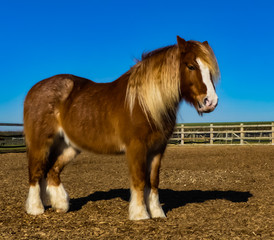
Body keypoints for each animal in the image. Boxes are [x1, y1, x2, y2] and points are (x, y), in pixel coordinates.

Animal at [23, 35, 220, 219]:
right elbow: (139, 180)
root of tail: (35, 89)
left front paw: (157, 213)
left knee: (51, 171)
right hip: (41, 143)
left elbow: (153, 181)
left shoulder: (157, 149)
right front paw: (140, 215)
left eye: (210, 70)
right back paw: (36, 208)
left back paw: (60, 205)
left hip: (68, 146)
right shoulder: (136, 147)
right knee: (36, 172)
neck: (144, 103)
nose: (210, 102)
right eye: (191, 66)